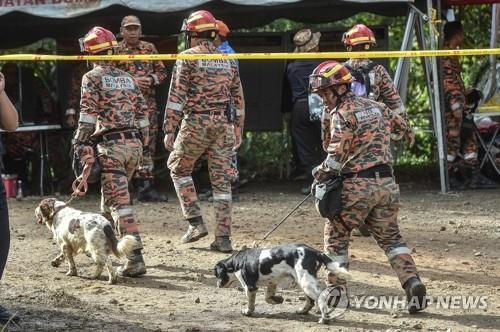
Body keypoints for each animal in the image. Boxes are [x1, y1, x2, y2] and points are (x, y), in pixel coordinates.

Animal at [213, 244, 350, 322]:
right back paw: (302, 311)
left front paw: (247, 312)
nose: (217, 284)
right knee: (310, 301)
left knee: (320, 297)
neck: (237, 262)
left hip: (306, 282)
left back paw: (324, 318)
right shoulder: (271, 283)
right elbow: (268, 297)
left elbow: (251, 303)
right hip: (302, 281)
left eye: (217, 274)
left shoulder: (250, 287)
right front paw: (278, 299)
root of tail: (316, 252)